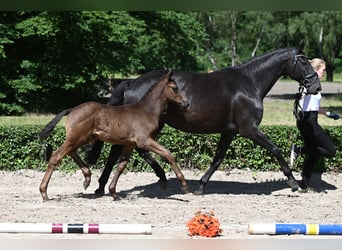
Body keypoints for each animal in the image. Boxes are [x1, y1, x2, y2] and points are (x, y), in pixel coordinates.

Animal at [37, 72, 190, 201]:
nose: (186, 103)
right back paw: (44, 193)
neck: (147, 111)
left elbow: (121, 166)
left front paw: (113, 192)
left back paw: (87, 178)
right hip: (77, 138)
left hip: (84, 138)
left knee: (71, 152)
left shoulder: (129, 144)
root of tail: (72, 109)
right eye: (175, 88)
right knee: (57, 155)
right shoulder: (145, 141)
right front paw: (183, 185)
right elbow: (167, 153)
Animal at [87, 47, 320, 195]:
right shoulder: (249, 129)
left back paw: (101, 186)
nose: (316, 86)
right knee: (137, 149)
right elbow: (276, 149)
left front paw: (201, 186)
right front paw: (293, 182)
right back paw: (159, 177)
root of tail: (132, 82)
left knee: (118, 151)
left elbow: (217, 159)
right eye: (304, 61)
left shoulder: (230, 132)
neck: (248, 83)